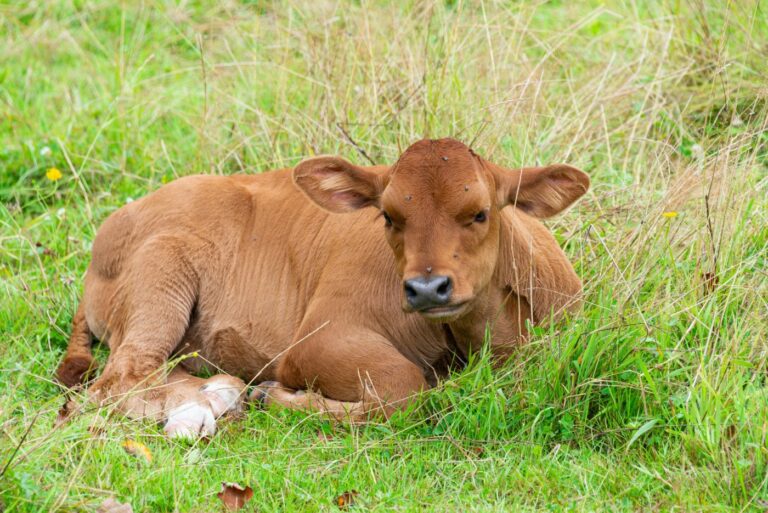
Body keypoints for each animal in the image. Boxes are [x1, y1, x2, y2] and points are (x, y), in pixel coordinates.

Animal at [57, 138, 592, 438]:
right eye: (388, 216)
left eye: (479, 213)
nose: (426, 288)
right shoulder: (318, 339)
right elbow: (405, 389)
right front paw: (274, 396)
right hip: (161, 278)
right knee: (117, 380)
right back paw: (216, 398)